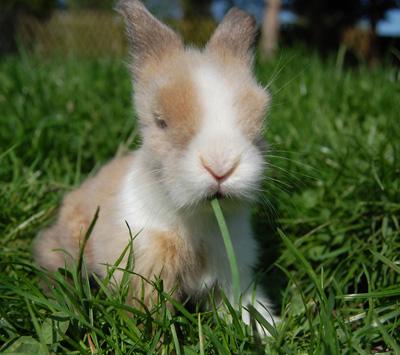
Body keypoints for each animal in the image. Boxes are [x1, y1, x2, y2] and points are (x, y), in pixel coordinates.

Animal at [33, 0, 278, 336]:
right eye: (161, 122)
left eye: (260, 120)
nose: (221, 166)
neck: (197, 221)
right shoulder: (144, 271)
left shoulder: (232, 273)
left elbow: (243, 305)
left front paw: (267, 331)